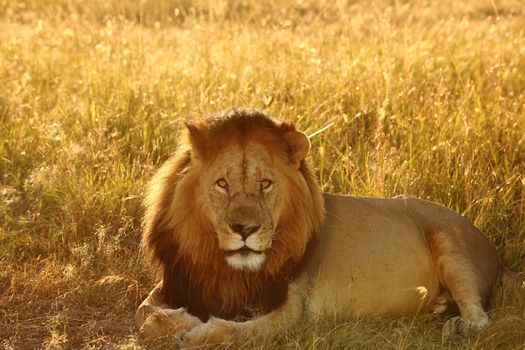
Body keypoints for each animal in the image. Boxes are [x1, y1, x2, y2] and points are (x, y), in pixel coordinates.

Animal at [134, 108, 512, 346]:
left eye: (266, 184)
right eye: (222, 184)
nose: (244, 229)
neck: (227, 268)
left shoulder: (290, 309)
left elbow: (241, 332)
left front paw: (195, 332)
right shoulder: (176, 283)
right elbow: (144, 313)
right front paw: (181, 320)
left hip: (449, 244)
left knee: (481, 317)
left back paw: (458, 324)